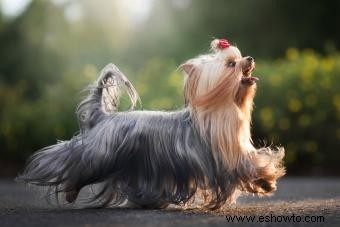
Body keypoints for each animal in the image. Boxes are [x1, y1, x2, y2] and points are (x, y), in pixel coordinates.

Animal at [17, 38, 286, 209]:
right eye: (231, 64)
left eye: (240, 58)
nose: (249, 58)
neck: (223, 108)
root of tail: (102, 117)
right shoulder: (227, 156)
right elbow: (250, 165)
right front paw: (267, 179)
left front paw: (267, 180)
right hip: (99, 155)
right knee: (67, 161)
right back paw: (69, 190)